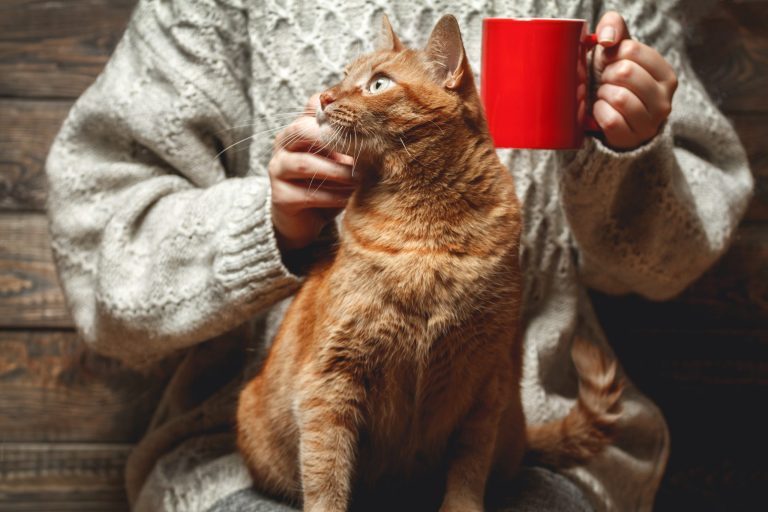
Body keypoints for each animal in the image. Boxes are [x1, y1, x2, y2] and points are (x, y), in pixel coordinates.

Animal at [237, 14, 620, 510]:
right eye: (344, 76)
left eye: (378, 83)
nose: (323, 97)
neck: (426, 235)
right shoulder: (330, 380)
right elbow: (327, 475)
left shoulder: (487, 381)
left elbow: (468, 471)